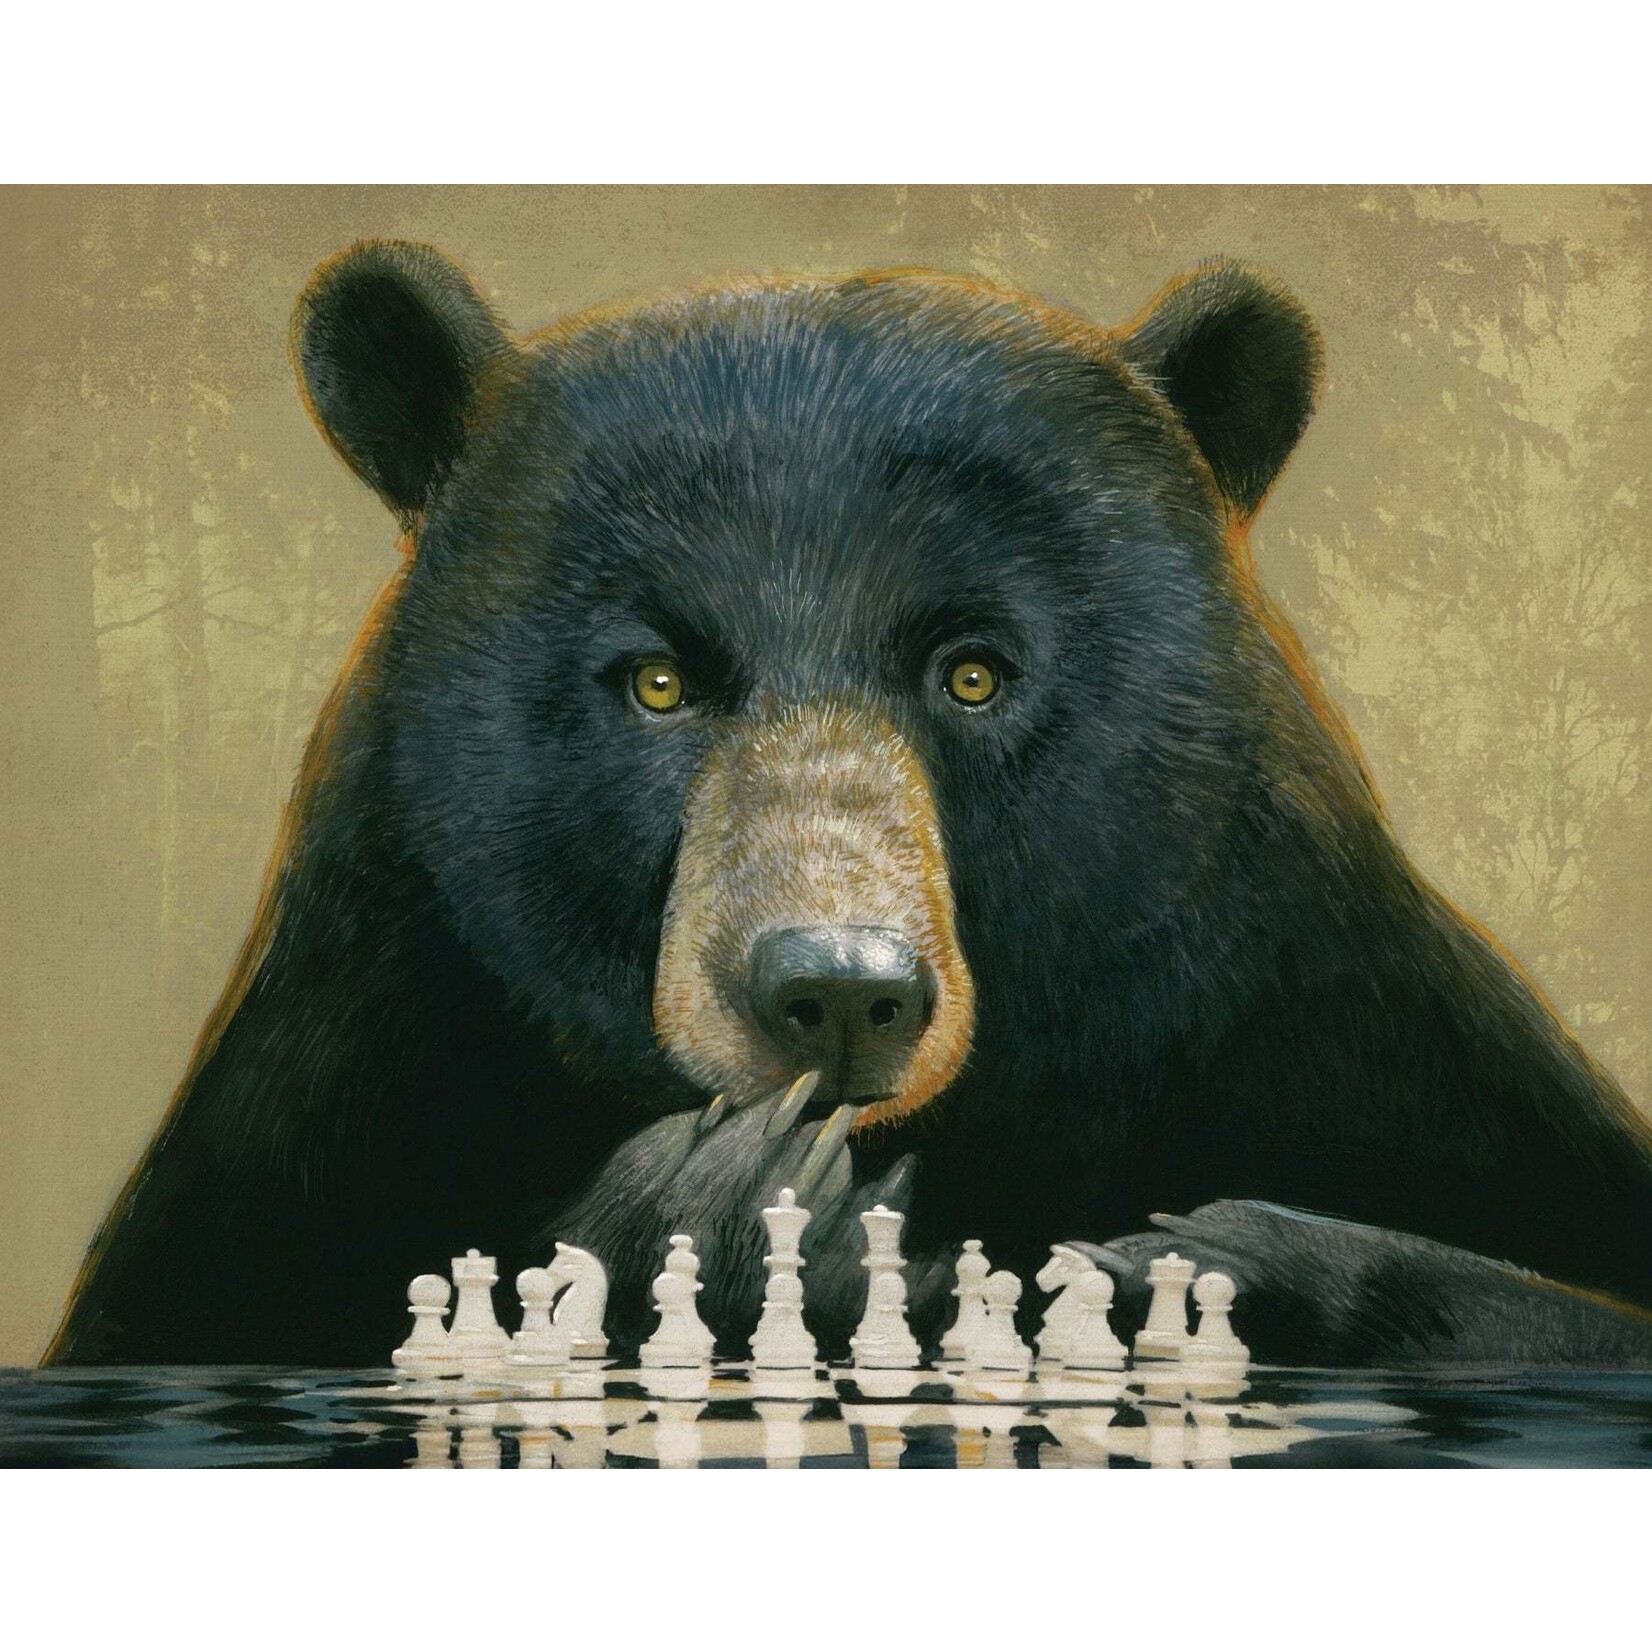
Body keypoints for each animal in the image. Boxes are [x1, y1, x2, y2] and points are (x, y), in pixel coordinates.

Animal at [47, 240, 1652, 1371]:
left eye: (973, 671)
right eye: (657, 680)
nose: (835, 993)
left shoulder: (1332, 1019)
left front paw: (1180, 1255)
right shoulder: (350, 1071)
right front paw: (749, 1199)